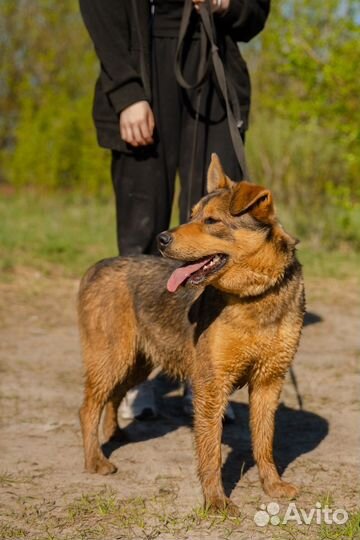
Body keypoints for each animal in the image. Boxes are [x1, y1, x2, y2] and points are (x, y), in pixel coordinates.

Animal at [78, 154, 304, 512]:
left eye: (211, 221)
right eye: (192, 215)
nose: (161, 239)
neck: (255, 295)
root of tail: (98, 266)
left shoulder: (269, 380)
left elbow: (264, 442)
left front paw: (272, 485)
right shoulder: (212, 385)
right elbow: (210, 452)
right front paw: (216, 500)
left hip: (137, 362)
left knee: (112, 397)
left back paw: (116, 435)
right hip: (111, 358)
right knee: (88, 409)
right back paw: (95, 461)